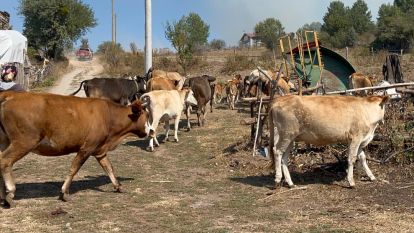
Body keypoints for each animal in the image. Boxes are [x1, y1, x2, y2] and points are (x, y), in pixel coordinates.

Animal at [0, 91, 150, 208]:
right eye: (146, 115)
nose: (150, 131)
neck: (109, 115)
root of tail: (11, 95)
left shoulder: (100, 150)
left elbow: (109, 167)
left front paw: (118, 186)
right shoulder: (87, 147)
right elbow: (74, 168)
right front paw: (64, 192)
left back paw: (3, 196)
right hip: (24, 142)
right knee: (5, 161)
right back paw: (10, 192)